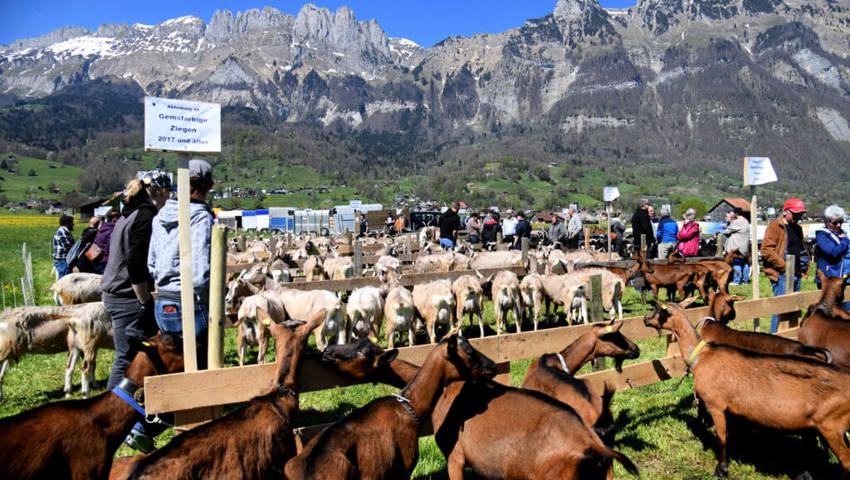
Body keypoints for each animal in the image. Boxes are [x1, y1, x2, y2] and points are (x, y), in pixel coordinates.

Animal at [644, 300, 848, 476]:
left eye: (658, 309)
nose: (645, 318)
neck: (701, 356)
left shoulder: (716, 406)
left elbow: (722, 438)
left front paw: (721, 469)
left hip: (831, 426)